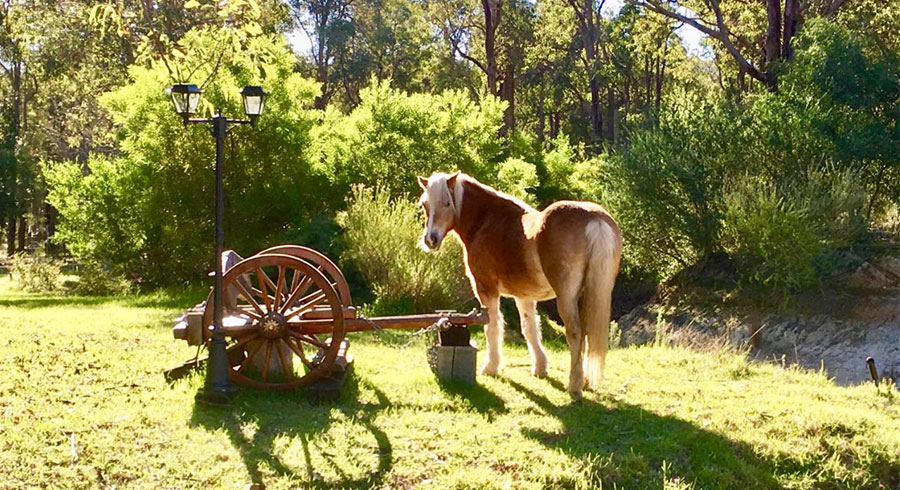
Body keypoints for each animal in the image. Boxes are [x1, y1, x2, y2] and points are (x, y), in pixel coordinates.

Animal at [418, 171, 624, 398]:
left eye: (447, 202)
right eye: (425, 204)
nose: (431, 239)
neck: (485, 220)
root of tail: (594, 219)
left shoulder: (486, 290)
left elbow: (492, 326)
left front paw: (490, 367)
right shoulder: (524, 295)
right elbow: (530, 328)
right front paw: (540, 368)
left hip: (566, 298)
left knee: (575, 333)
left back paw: (574, 385)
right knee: (588, 334)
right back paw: (585, 381)